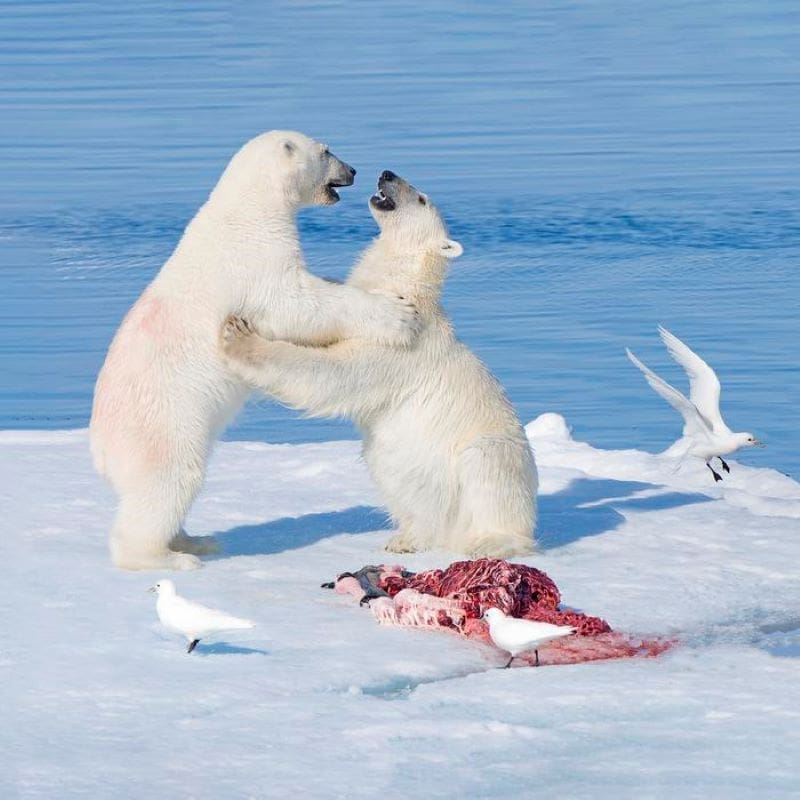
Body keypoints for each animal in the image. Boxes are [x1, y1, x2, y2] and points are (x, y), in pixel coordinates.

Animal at [90, 132, 418, 571]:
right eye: (326, 151)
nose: (352, 170)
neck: (247, 212)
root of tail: (100, 448)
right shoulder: (253, 262)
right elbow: (298, 305)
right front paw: (397, 314)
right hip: (160, 427)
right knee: (169, 483)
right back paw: (169, 557)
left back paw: (196, 540)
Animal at [221, 170, 538, 558]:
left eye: (421, 198)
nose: (387, 174)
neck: (402, 288)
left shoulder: (398, 347)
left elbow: (332, 374)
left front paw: (238, 336)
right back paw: (405, 539)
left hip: (495, 457)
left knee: (487, 467)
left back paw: (490, 542)